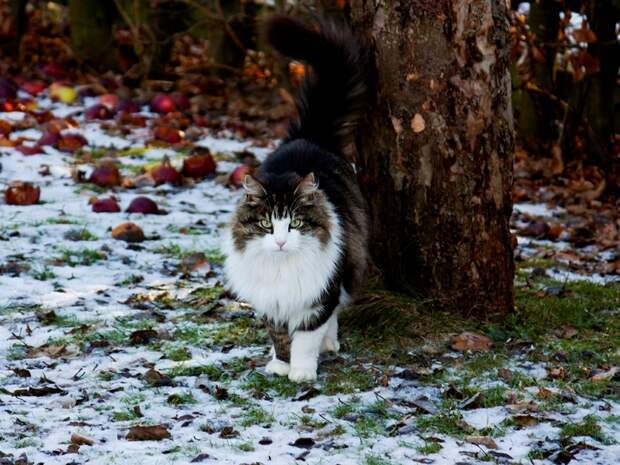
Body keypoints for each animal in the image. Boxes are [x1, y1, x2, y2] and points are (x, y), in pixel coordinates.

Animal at [223, 16, 368, 382]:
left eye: (296, 223)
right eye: (266, 224)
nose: (280, 242)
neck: (282, 269)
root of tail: (308, 137)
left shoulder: (317, 296)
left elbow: (306, 335)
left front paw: (302, 372)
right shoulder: (271, 302)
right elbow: (279, 336)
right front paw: (280, 364)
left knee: (335, 313)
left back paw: (329, 345)